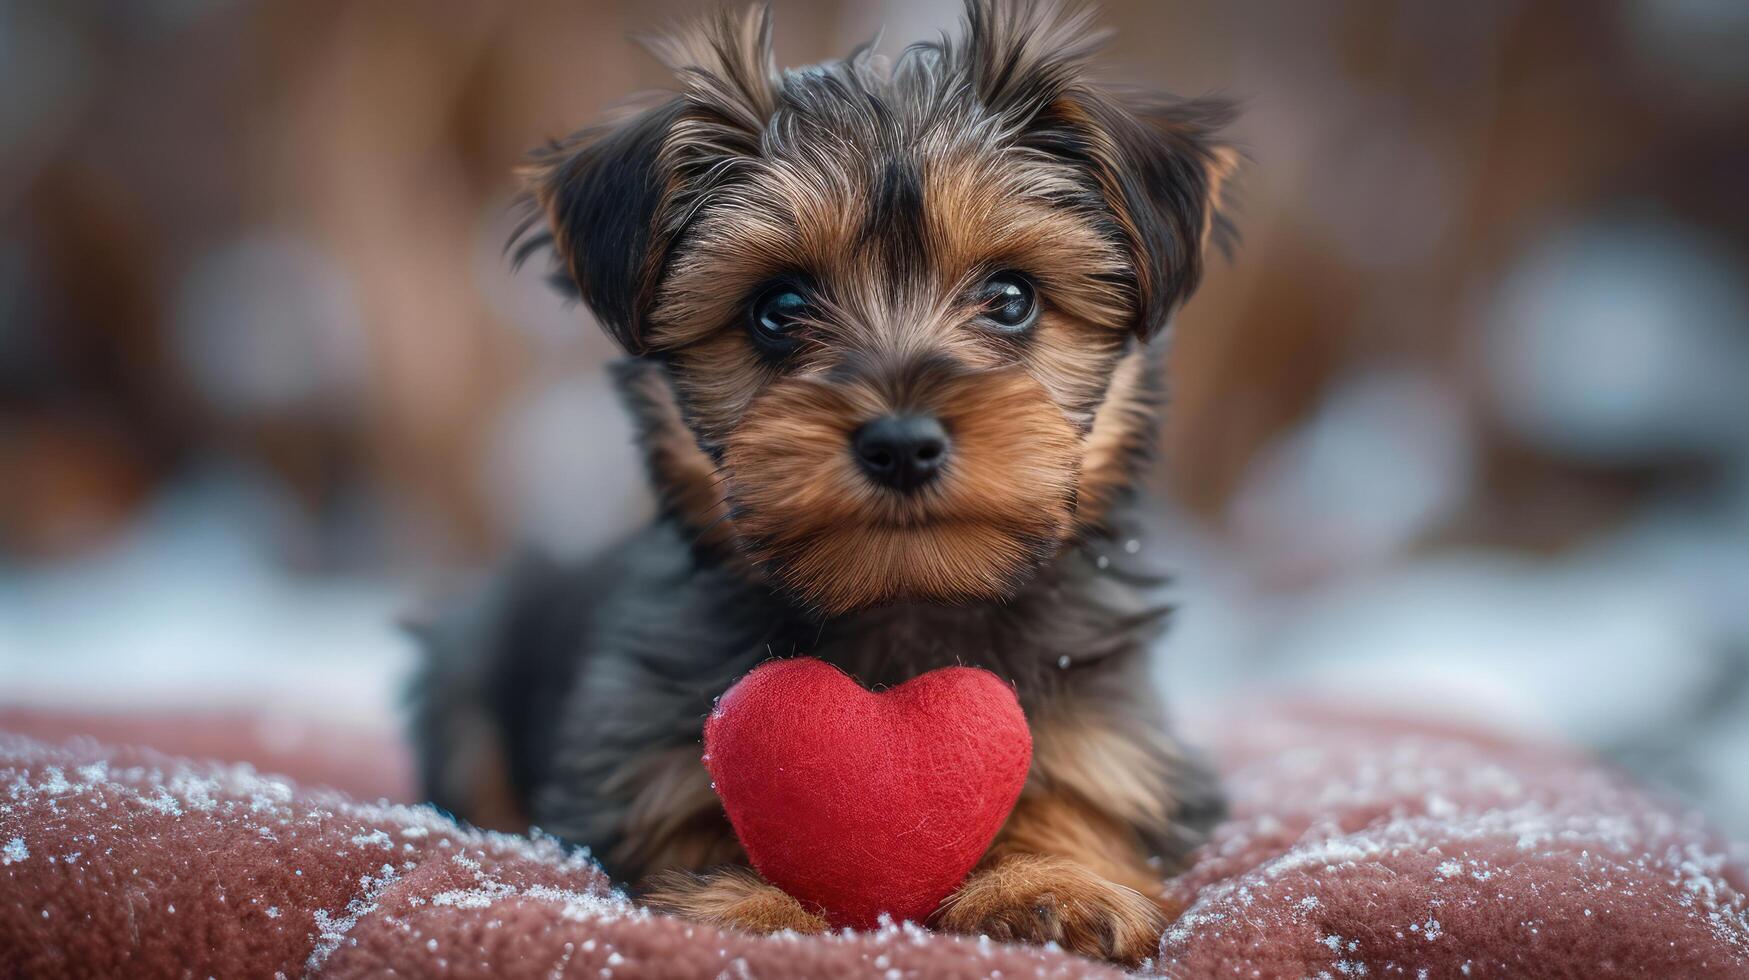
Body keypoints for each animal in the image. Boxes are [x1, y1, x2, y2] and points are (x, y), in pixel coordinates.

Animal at [412, 0, 1231, 966]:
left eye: (1011, 297)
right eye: (778, 308)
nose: (902, 443)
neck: (897, 607)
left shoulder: (1110, 736)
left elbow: (1082, 793)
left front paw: (1054, 881)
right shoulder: (639, 755)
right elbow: (693, 818)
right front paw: (746, 904)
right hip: (468, 663)